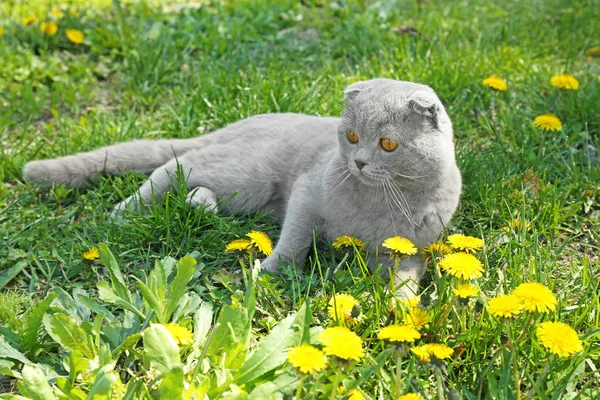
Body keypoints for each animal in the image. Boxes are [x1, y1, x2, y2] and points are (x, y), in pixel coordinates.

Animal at [23, 79, 462, 296]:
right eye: (352, 136)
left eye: (387, 144)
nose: (358, 162)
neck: (385, 199)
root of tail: (240, 123)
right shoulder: (306, 193)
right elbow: (294, 241)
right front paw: (268, 273)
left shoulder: (409, 248)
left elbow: (406, 278)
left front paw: (401, 311)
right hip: (248, 174)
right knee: (172, 166)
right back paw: (124, 212)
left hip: (246, 194)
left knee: (192, 181)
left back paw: (201, 206)